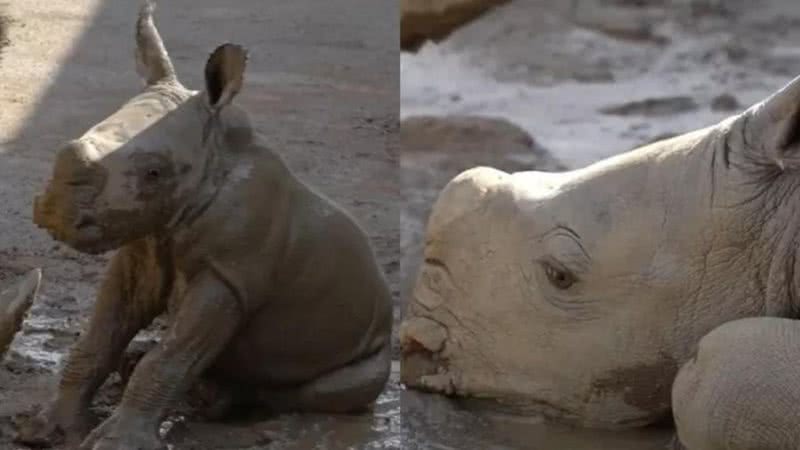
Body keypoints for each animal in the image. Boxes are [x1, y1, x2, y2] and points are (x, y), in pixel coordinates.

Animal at [17, 1, 392, 448]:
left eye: (155, 173)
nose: (57, 210)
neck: (213, 160)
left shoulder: (229, 274)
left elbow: (171, 357)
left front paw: (114, 443)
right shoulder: (144, 245)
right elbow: (98, 338)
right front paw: (44, 430)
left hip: (371, 343)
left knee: (331, 387)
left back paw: (236, 410)